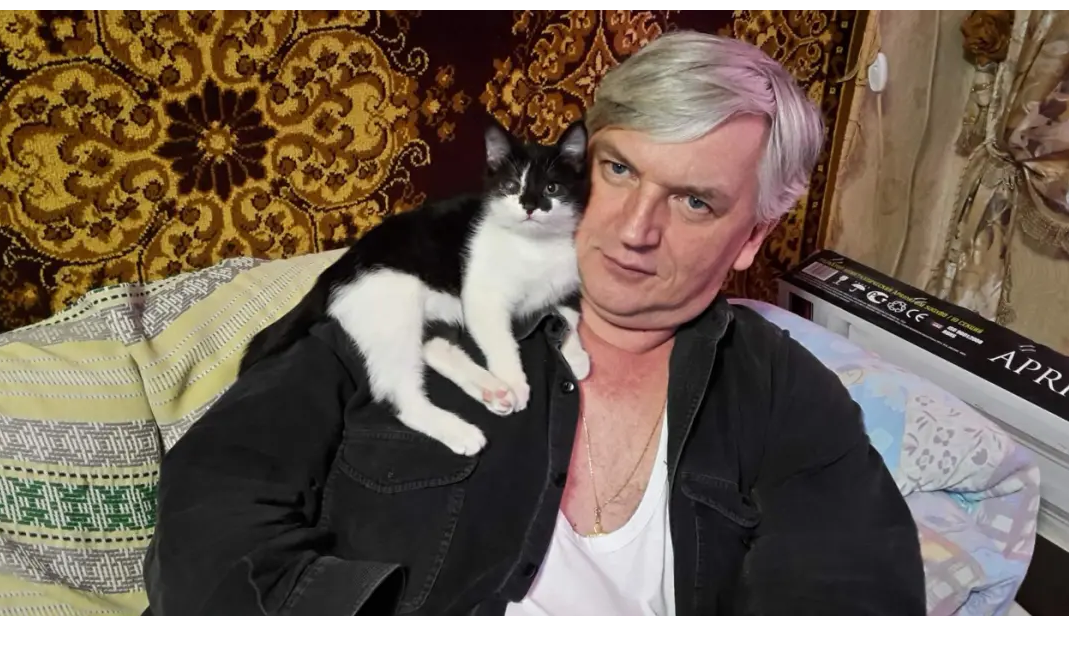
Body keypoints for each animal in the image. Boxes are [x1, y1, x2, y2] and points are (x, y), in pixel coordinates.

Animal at [239, 118, 591, 455]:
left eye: (552, 187)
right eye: (511, 186)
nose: (530, 206)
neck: (534, 247)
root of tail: (337, 269)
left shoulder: (567, 281)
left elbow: (569, 314)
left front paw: (575, 354)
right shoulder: (481, 297)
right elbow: (501, 341)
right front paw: (516, 381)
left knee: (431, 345)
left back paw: (491, 390)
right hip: (394, 303)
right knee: (397, 391)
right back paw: (462, 428)